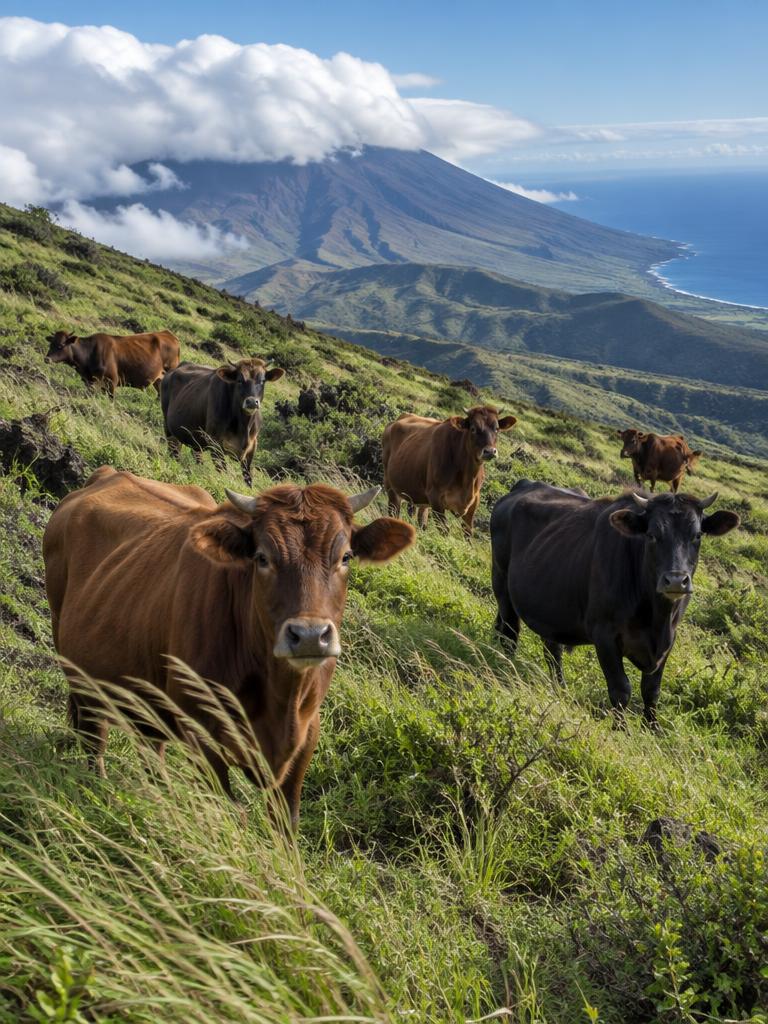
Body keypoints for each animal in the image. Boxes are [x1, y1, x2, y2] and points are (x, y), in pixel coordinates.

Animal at [43, 467, 415, 828]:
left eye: (346, 557)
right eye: (262, 558)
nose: (309, 635)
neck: (279, 699)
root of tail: (108, 475)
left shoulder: (306, 736)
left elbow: (286, 822)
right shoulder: (202, 737)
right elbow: (233, 813)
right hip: (80, 672)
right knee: (95, 739)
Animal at [45, 329, 180, 397]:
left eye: (61, 345)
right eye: (50, 343)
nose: (47, 359)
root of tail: (168, 334)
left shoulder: (111, 381)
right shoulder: (90, 381)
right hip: (159, 380)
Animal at [382, 406, 517, 536]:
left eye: (497, 429)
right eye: (473, 428)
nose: (490, 451)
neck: (467, 478)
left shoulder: (474, 501)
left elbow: (468, 533)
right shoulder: (435, 497)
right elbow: (445, 530)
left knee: (422, 520)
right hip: (390, 486)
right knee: (394, 512)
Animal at [490, 480, 738, 725]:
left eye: (697, 536)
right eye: (651, 534)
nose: (676, 580)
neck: (656, 617)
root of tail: (524, 485)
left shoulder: (669, 639)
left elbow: (651, 690)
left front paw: (653, 727)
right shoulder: (604, 635)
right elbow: (621, 689)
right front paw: (621, 728)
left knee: (551, 650)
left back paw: (560, 688)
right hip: (501, 581)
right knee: (510, 634)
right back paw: (507, 668)